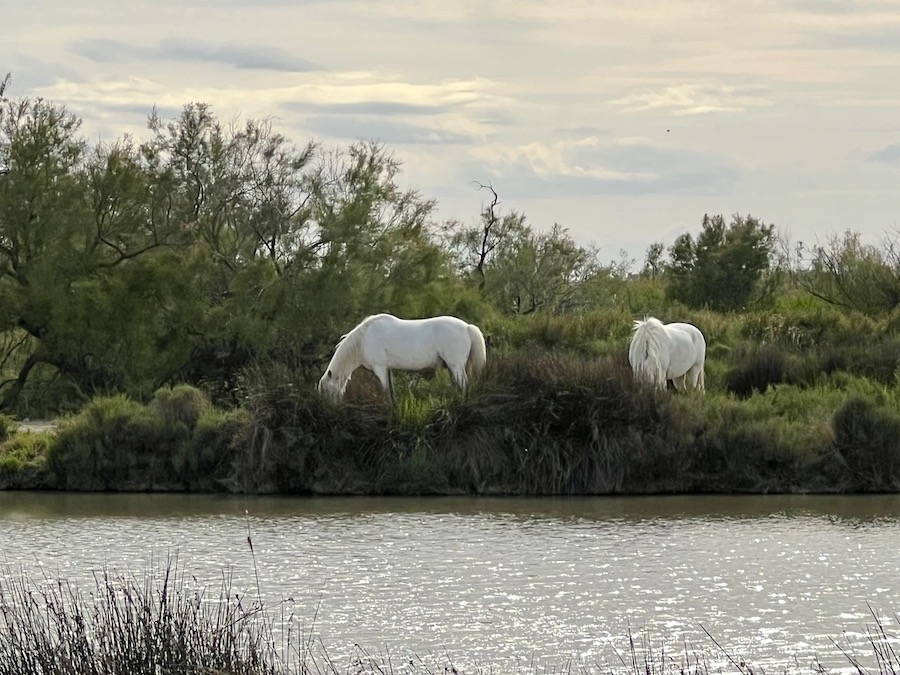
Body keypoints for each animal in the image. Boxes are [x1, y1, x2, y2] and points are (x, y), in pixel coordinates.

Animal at [318, 313, 488, 402]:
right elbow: (391, 391)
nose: (330, 409)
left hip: (456, 366)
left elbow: (385, 391)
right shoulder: (388, 370)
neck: (363, 339)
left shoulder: (380, 368)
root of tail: (467, 327)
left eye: (326, 391)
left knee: (464, 385)